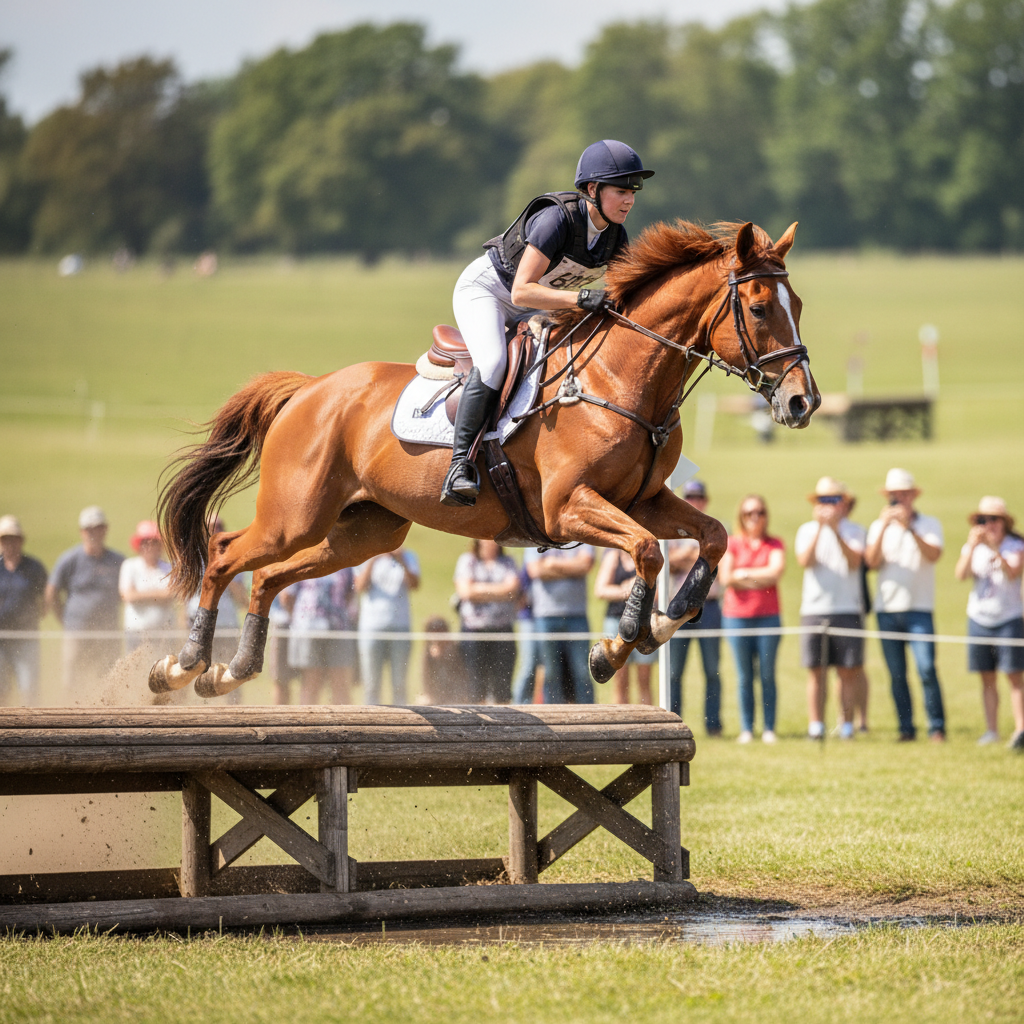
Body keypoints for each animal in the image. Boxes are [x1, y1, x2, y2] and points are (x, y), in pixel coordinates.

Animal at [149, 219, 820, 699]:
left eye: (800, 305)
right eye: (759, 308)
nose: (802, 401)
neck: (620, 379)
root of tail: (311, 389)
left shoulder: (645, 500)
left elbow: (713, 537)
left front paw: (659, 623)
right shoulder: (569, 508)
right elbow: (647, 551)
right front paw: (620, 643)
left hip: (363, 532)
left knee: (268, 577)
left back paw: (230, 671)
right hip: (294, 515)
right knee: (224, 553)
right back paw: (182, 666)